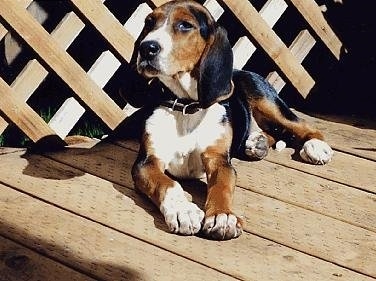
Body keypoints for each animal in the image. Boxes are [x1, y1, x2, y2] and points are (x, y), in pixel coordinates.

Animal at [129, 0, 332, 241]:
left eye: (185, 25)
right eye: (149, 22)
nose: (146, 48)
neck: (186, 107)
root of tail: (240, 71)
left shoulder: (218, 159)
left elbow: (221, 186)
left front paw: (221, 217)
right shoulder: (147, 162)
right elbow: (167, 184)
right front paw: (183, 211)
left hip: (265, 99)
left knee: (300, 124)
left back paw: (315, 146)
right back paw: (256, 143)